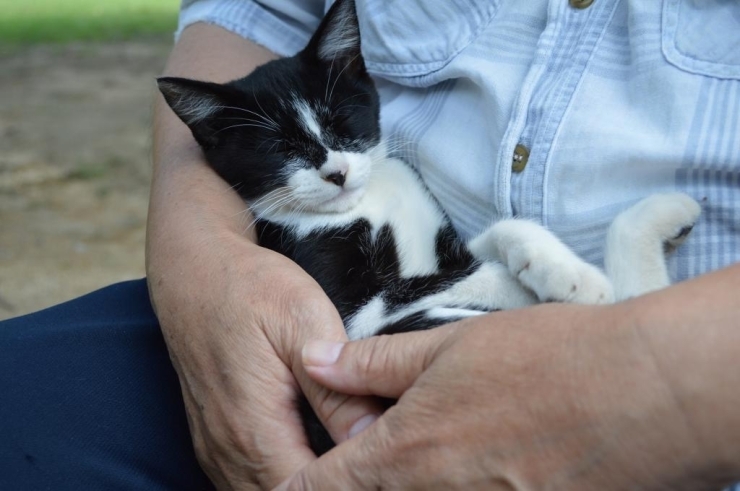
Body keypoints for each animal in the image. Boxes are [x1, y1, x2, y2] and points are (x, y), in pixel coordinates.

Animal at [156, 0, 700, 456]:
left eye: (341, 121)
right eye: (279, 150)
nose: (336, 173)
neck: (367, 203)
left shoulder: (442, 242)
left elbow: (492, 236)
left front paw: (559, 268)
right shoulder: (353, 317)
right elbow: (448, 279)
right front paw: (562, 284)